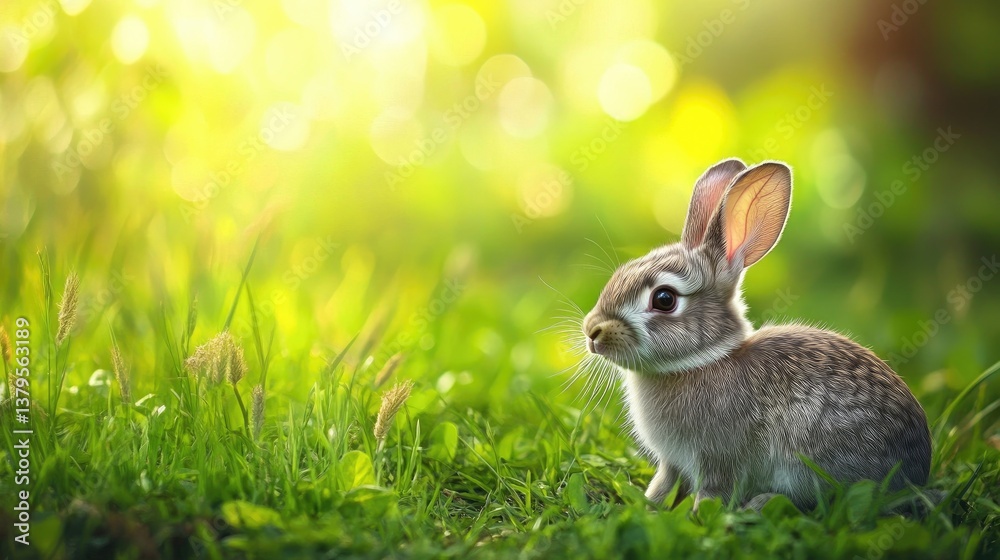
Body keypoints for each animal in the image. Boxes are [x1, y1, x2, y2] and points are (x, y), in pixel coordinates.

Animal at [582, 159, 931, 511]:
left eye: (664, 299)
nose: (593, 330)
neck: (700, 362)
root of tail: (918, 472)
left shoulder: (718, 458)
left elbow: (712, 492)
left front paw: (698, 514)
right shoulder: (673, 463)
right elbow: (664, 484)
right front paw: (646, 504)